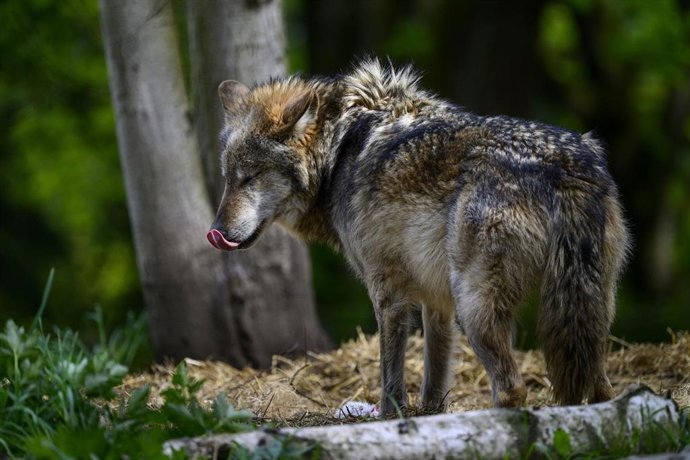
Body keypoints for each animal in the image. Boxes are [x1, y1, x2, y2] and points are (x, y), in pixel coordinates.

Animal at [206, 59, 630, 415]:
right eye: (228, 178)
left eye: (250, 177)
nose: (217, 233)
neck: (339, 150)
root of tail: (565, 167)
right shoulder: (436, 300)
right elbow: (434, 377)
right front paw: (430, 417)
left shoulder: (388, 293)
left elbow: (390, 379)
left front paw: (390, 420)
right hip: (586, 311)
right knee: (602, 389)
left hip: (476, 309)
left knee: (512, 388)